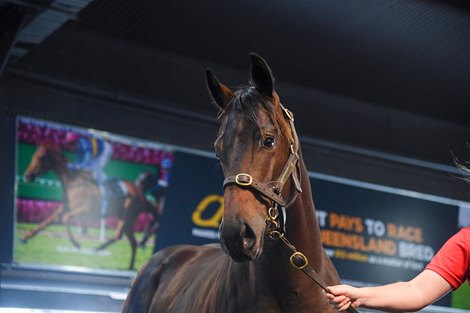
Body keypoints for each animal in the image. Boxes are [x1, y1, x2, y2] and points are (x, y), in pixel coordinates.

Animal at [22, 144, 152, 268]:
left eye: (41, 158)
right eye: (33, 156)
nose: (27, 175)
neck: (74, 182)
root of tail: (141, 194)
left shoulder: (86, 209)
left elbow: (66, 218)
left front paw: (76, 243)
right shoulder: (66, 208)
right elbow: (47, 221)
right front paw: (26, 236)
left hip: (128, 216)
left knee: (123, 237)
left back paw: (101, 251)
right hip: (125, 218)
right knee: (130, 241)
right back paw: (128, 266)